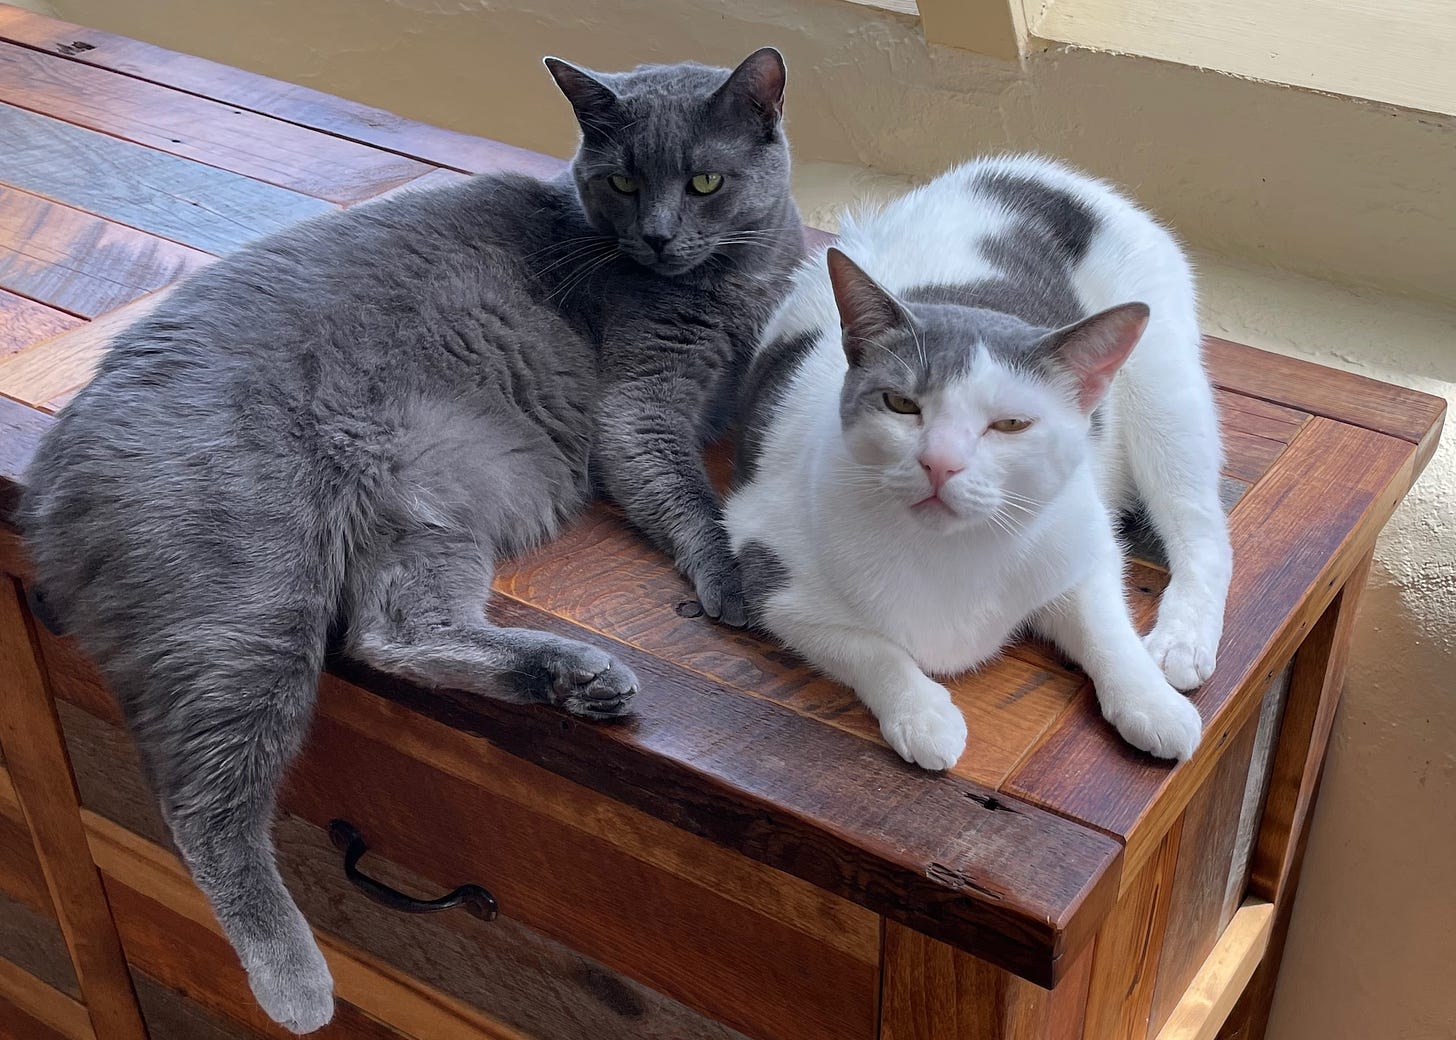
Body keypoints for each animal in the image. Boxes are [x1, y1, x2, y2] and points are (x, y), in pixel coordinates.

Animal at [19, 46, 797, 1031]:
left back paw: (577, 680)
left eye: (703, 181)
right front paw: (734, 580)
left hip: (428, 508)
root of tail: (50, 476)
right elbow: (689, 491)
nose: (656, 239)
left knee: (394, 635)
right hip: (249, 596)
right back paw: (295, 983)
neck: (727, 280)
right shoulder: (640, 405)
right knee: (205, 799)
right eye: (622, 181)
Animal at [725, 153, 1228, 769]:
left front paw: (1149, 702)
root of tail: (1039, 171)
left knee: (1203, 529)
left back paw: (1181, 642)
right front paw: (922, 713)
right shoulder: (767, 565)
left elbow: (1105, 627)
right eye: (901, 404)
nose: (940, 463)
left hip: (1167, 395)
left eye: (1010, 424)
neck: (953, 553)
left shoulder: (1083, 541)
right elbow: (867, 647)